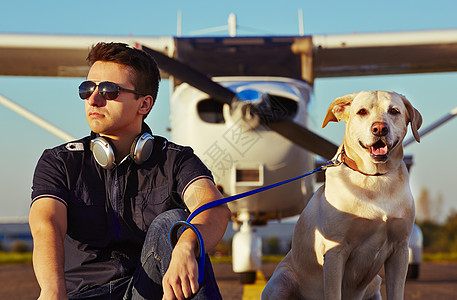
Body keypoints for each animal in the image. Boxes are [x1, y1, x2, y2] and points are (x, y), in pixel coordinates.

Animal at [262, 91, 422, 300]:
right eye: (362, 111)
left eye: (394, 111)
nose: (380, 128)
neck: (375, 178)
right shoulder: (335, 251)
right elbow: (333, 292)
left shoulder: (400, 250)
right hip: (281, 280)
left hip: (375, 283)